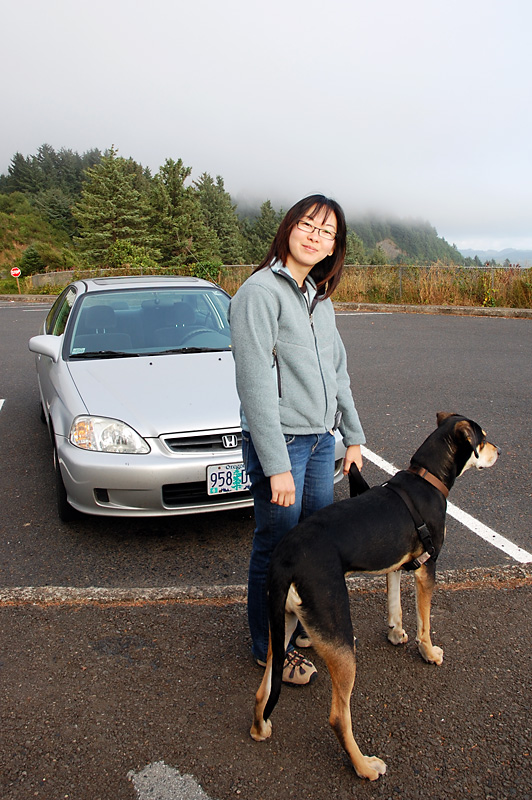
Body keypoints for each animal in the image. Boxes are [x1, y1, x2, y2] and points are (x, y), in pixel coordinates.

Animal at [249, 412, 498, 780]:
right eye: (481, 439)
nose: (499, 450)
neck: (427, 478)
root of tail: (285, 558)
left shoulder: (397, 562)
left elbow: (394, 602)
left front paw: (395, 632)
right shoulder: (428, 567)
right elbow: (425, 621)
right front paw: (428, 652)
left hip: (283, 624)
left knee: (263, 690)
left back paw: (260, 728)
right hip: (339, 639)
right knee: (338, 717)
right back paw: (364, 766)